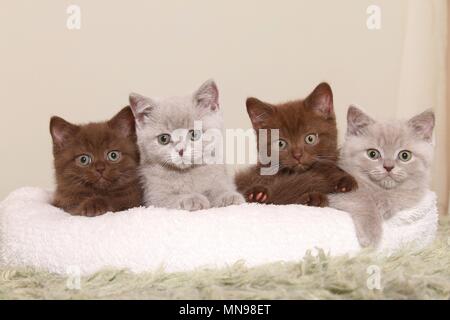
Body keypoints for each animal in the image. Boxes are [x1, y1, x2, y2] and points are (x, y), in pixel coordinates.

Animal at [128, 79, 244, 211]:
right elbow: (170, 199)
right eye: (163, 139)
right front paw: (193, 199)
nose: (181, 150)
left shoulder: (220, 178)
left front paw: (229, 196)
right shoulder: (154, 197)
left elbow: (221, 188)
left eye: (194, 134)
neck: (188, 173)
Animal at [328, 106, 434, 246]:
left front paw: (386, 204)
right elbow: (362, 198)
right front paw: (370, 233)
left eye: (405, 155)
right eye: (372, 154)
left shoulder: (415, 192)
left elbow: (403, 195)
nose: (388, 167)